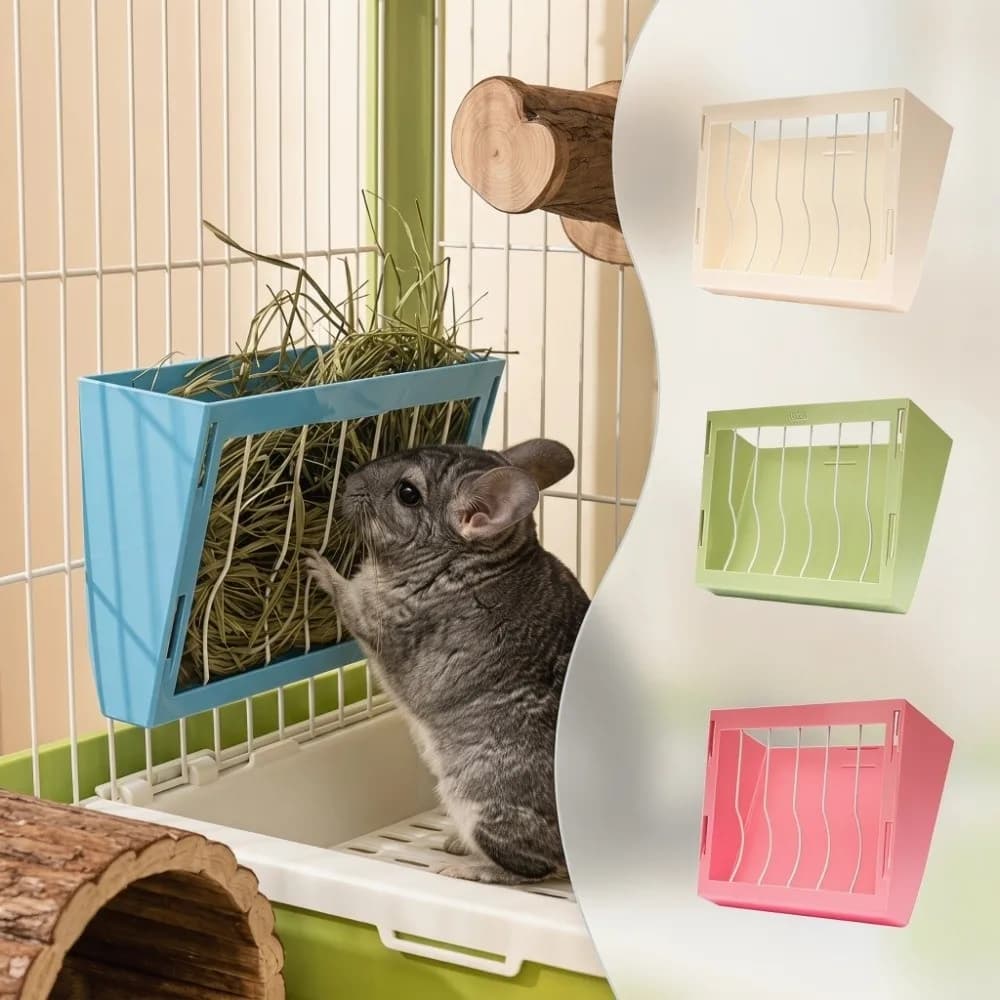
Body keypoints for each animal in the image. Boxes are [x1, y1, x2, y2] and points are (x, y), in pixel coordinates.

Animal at [304, 438, 590, 884]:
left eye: (408, 493)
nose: (348, 480)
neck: (469, 557)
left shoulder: (380, 615)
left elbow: (347, 598)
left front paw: (316, 564)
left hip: (479, 803)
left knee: (536, 869)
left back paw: (463, 866)